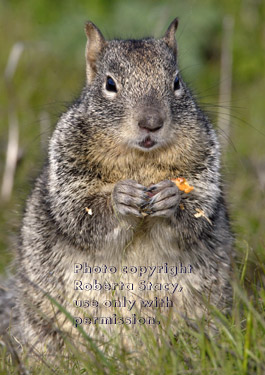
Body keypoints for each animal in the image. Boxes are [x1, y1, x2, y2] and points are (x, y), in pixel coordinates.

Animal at [5, 17, 232, 352]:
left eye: (177, 82)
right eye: (110, 84)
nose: (151, 123)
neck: (141, 162)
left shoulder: (205, 170)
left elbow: (195, 218)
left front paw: (172, 198)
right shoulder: (68, 177)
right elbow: (82, 217)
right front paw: (119, 198)